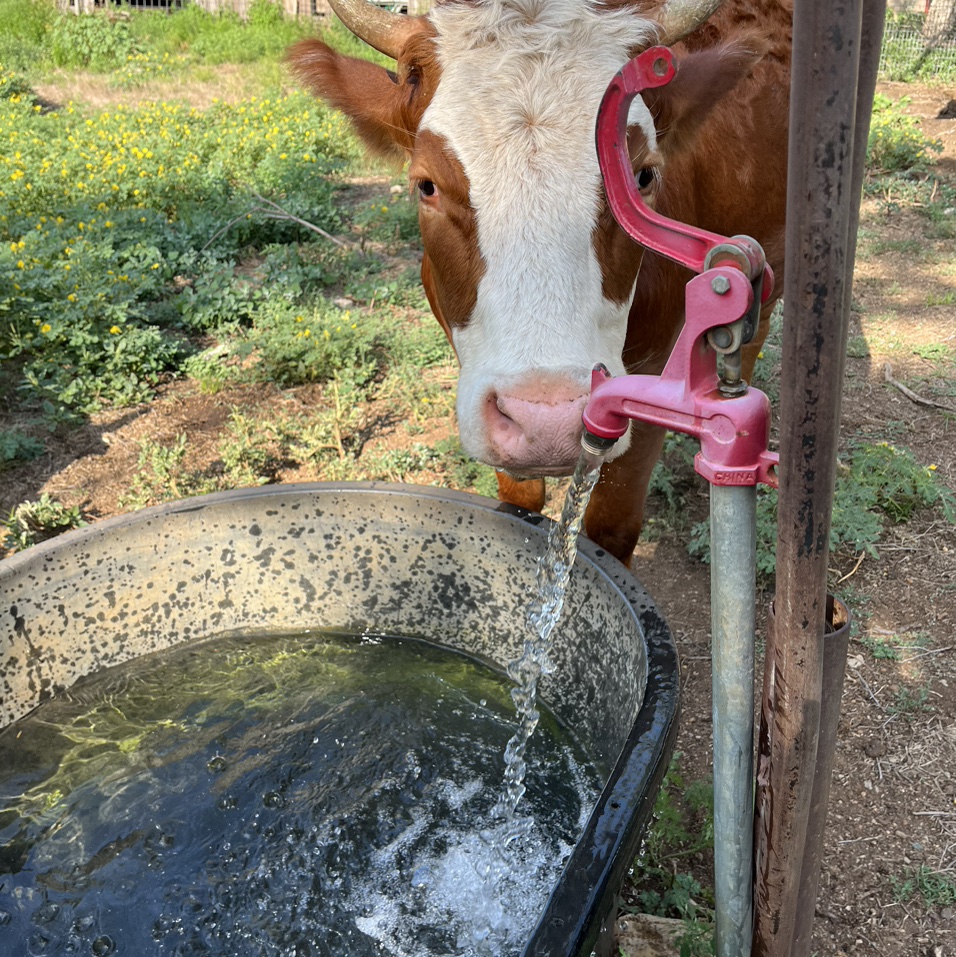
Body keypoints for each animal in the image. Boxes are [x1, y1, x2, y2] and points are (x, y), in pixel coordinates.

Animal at [286, 0, 792, 568]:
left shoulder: (657, 372)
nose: (548, 421)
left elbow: (611, 524)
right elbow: (518, 501)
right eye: (426, 185)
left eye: (644, 176)